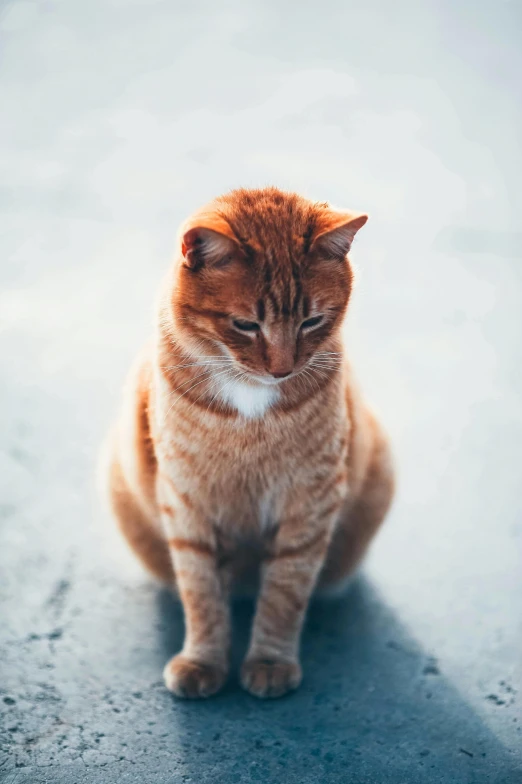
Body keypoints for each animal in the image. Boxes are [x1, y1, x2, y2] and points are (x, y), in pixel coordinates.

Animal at [104, 188, 390, 700]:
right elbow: (200, 591)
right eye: (245, 325)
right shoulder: (185, 499)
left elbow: (284, 592)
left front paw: (270, 662)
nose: (282, 369)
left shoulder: (309, 501)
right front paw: (201, 661)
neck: (249, 402)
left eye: (312, 321)